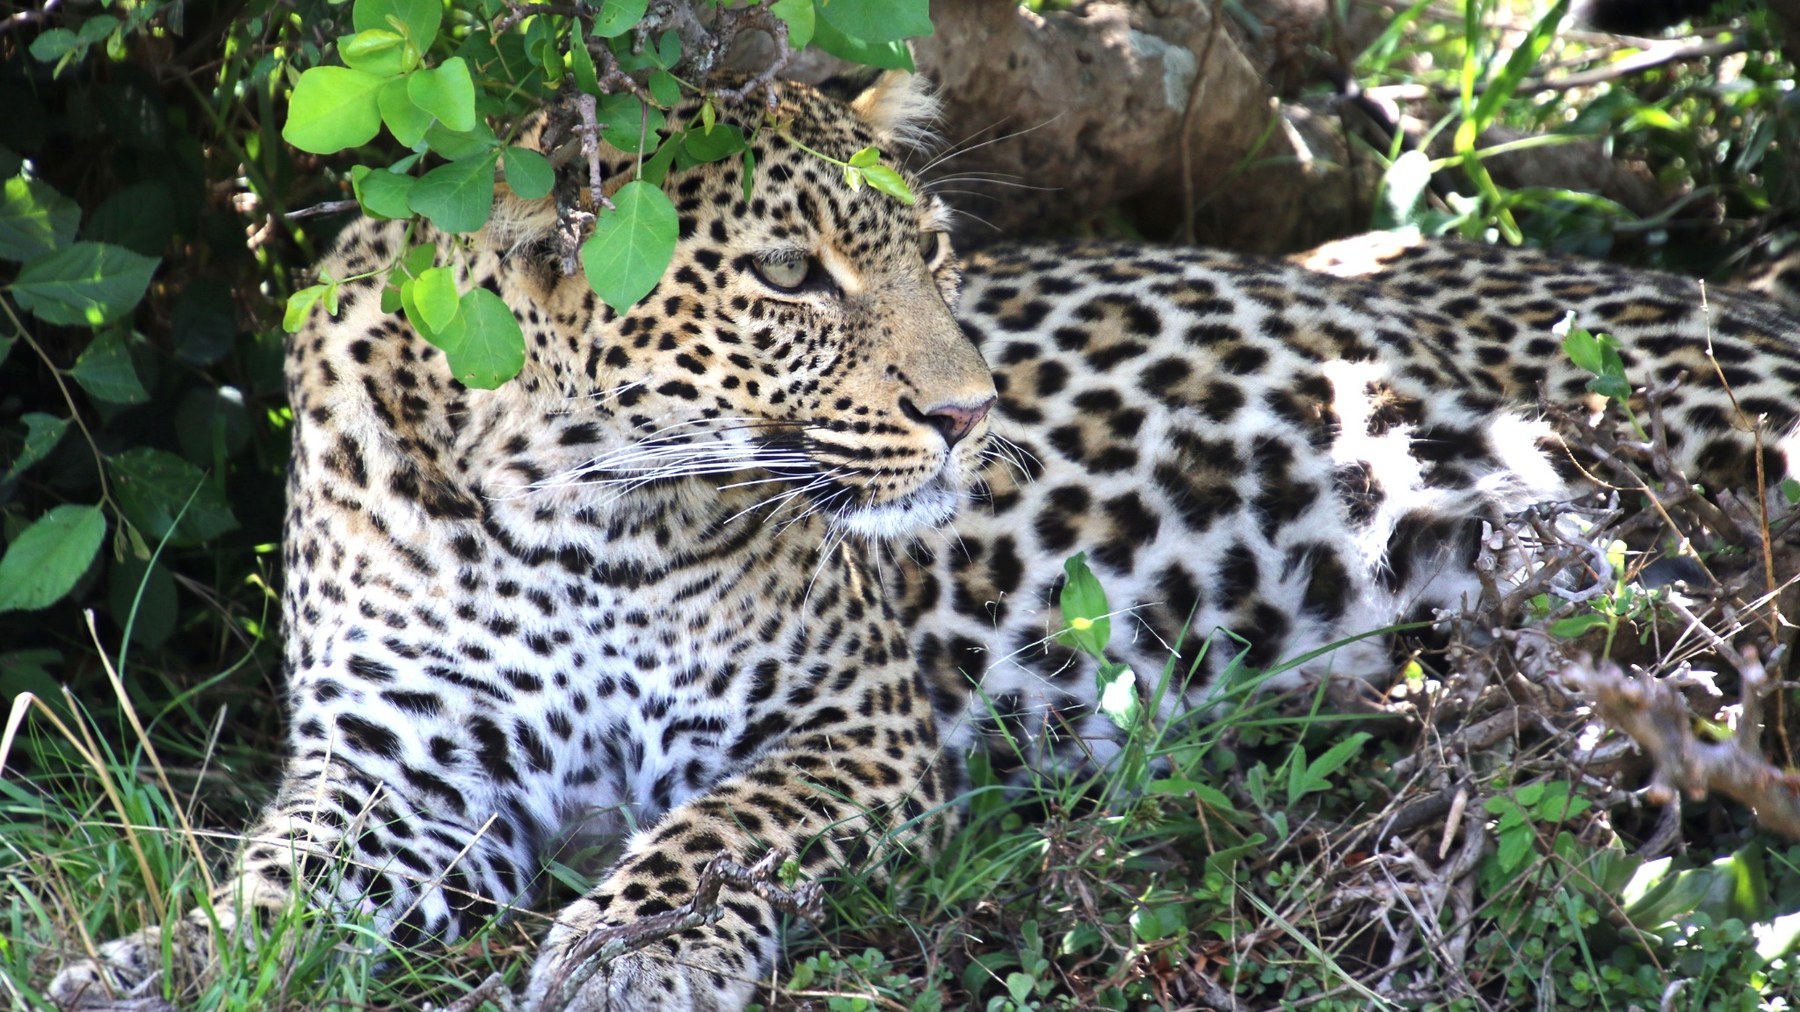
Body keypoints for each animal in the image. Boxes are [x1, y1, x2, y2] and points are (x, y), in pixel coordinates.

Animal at [47, 70, 1800, 1012]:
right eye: (789, 276)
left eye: (935, 253)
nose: (973, 412)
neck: (570, 508)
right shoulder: (397, 770)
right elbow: (281, 881)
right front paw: (160, 960)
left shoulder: (852, 733)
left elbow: (711, 837)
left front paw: (623, 953)